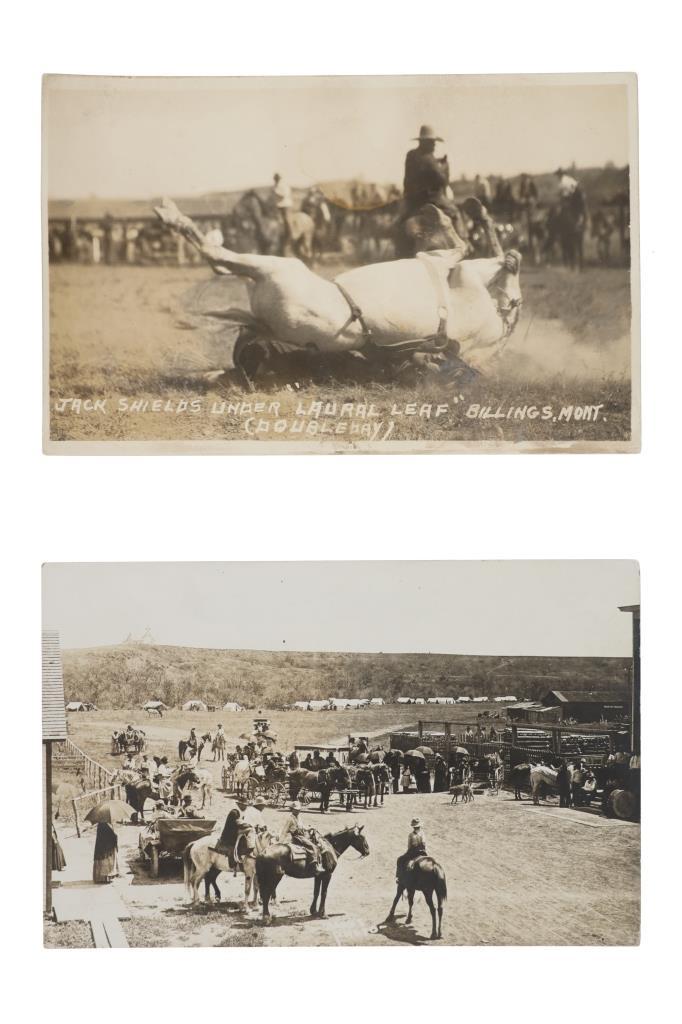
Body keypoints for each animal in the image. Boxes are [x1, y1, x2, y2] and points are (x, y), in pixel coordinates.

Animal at [153, 198, 522, 387]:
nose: (516, 260)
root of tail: (265, 326)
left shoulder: (446, 264)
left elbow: (461, 246)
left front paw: (447, 218)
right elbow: (469, 249)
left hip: (277, 268)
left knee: (218, 258)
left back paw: (172, 215)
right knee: (221, 265)